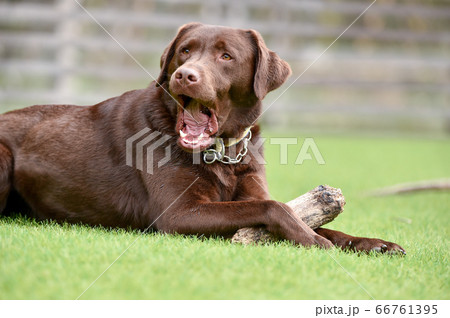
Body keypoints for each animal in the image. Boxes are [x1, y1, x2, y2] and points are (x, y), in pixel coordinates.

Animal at [0, 23, 404, 253]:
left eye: (226, 56)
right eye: (185, 50)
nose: (185, 75)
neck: (223, 152)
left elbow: (315, 219)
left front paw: (372, 243)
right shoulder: (180, 214)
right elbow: (278, 207)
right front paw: (313, 240)